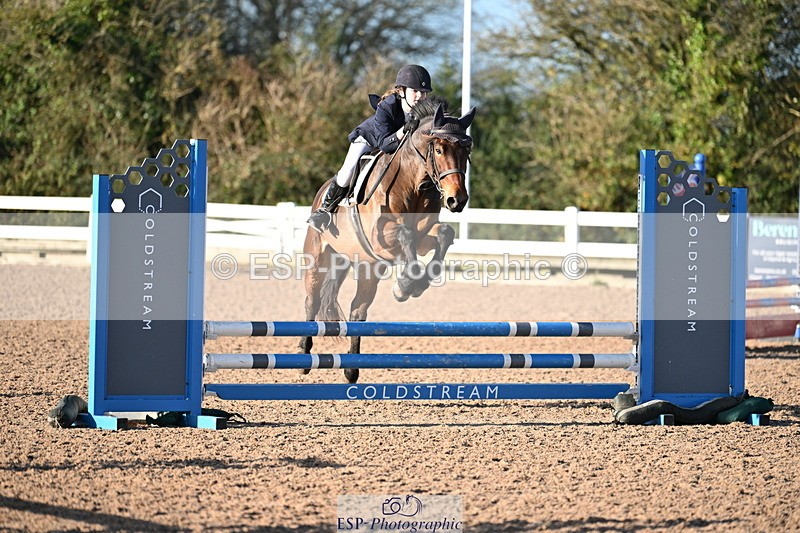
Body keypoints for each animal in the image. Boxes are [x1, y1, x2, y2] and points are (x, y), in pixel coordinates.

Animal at [299, 97, 476, 383]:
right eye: (438, 149)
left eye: (466, 150)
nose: (456, 200)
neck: (414, 183)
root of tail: (320, 191)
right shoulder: (379, 237)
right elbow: (405, 234)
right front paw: (406, 283)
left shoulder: (423, 237)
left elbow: (443, 235)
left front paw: (414, 284)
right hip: (319, 256)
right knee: (311, 300)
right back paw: (304, 356)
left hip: (369, 267)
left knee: (358, 311)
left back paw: (351, 369)